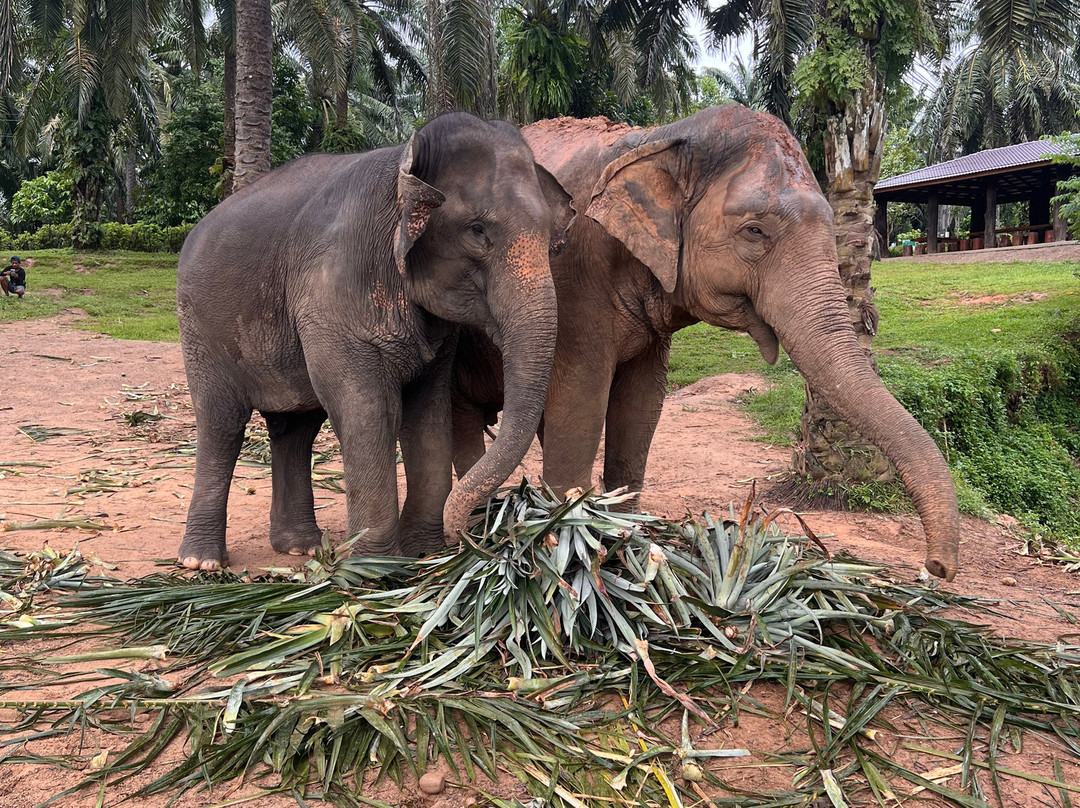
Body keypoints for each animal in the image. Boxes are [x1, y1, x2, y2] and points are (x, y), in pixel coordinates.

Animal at [176, 112, 572, 570]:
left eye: (551, 238)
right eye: (477, 230)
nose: (471, 534)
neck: (404, 162)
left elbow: (427, 413)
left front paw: (423, 553)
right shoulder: (331, 290)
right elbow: (368, 408)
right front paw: (376, 570)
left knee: (296, 428)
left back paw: (300, 547)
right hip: (200, 326)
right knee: (222, 422)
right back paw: (201, 562)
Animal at [451, 105, 960, 581]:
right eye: (755, 231)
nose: (937, 568)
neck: (659, 138)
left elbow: (640, 407)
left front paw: (624, 540)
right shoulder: (573, 279)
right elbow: (579, 404)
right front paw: (566, 549)